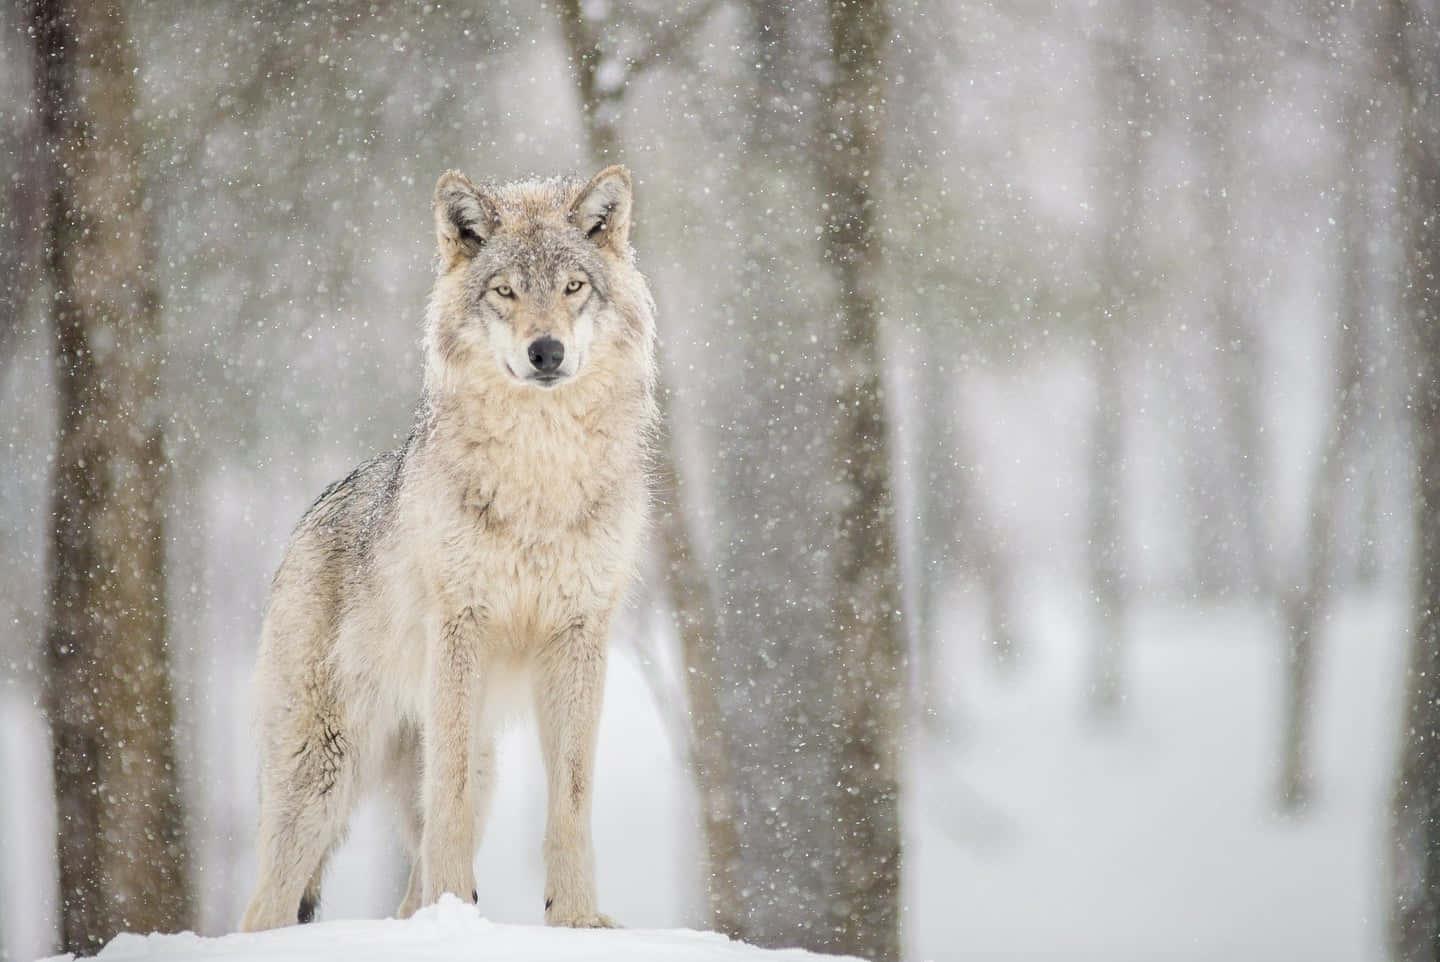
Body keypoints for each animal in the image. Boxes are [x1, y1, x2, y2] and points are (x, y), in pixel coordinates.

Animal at [239, 166, 655, 932]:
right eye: (506, 291)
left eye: (573, 287)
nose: (546, 351)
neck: (539, 477)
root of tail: (303, 525)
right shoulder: (461, 627)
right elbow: (450, 799)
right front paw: (458, 907)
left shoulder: (581, 636)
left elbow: (572, 798)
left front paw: (577, 919)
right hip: (323, 772)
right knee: (268, 905)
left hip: (466, 756)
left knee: (410, 871)